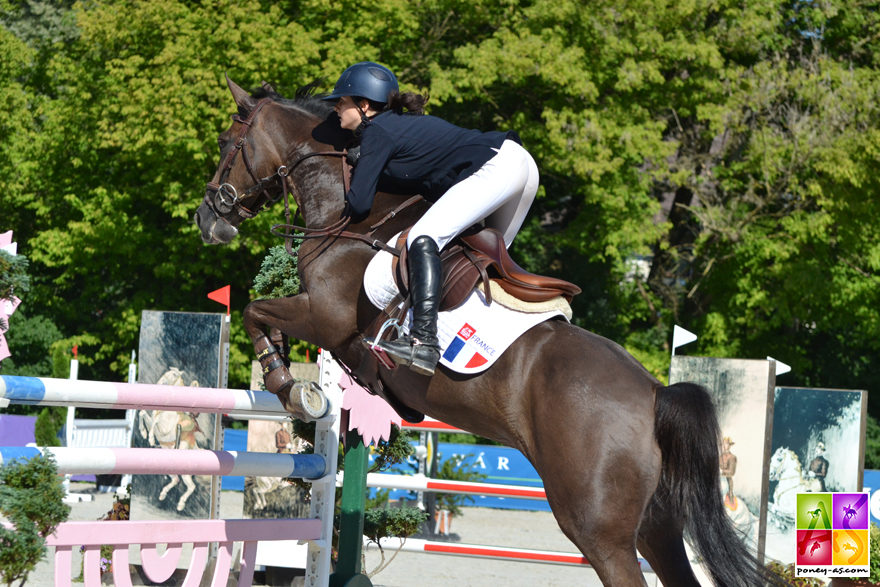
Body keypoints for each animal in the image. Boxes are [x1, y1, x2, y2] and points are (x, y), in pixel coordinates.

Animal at [194, 78, 784, 587]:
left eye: (226, 143)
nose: (207, 219)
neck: (351, 220)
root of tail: (658, 394)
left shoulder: (326, 317)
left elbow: (254, 311)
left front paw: (293, 388)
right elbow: (261, 315)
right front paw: (295, 383)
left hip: (599, 528)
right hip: (657, 526)